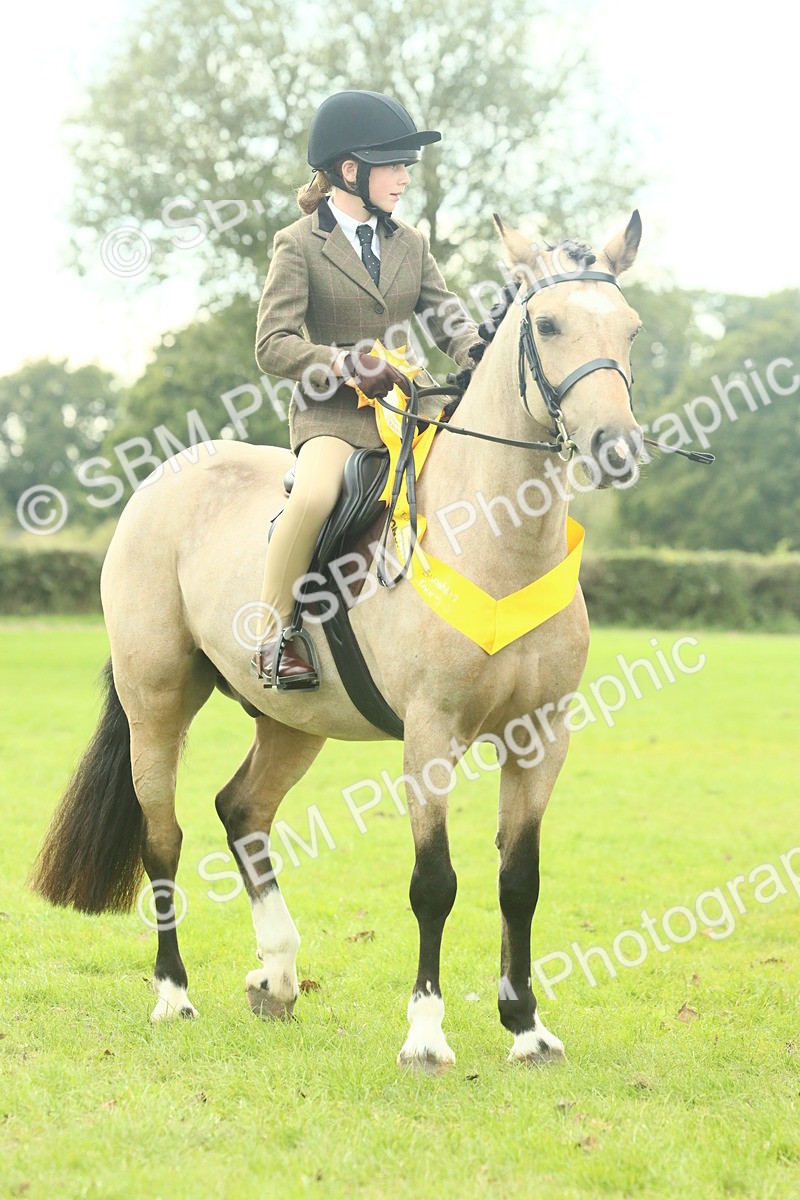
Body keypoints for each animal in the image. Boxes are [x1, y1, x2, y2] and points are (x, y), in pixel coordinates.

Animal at [30, 210, 644, 1069]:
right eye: (549, 324)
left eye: (632, 329)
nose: (618, 449)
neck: (497, 539)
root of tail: (160, 483)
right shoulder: (430, 735)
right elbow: (434, 883)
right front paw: (425, 1035)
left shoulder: (540, 735)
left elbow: (519, 881)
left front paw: (526, 1027)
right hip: (157, 699)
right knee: (165, 837)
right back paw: (175, 995)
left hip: (293, 722)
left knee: (241, 811)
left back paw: (278, 977)